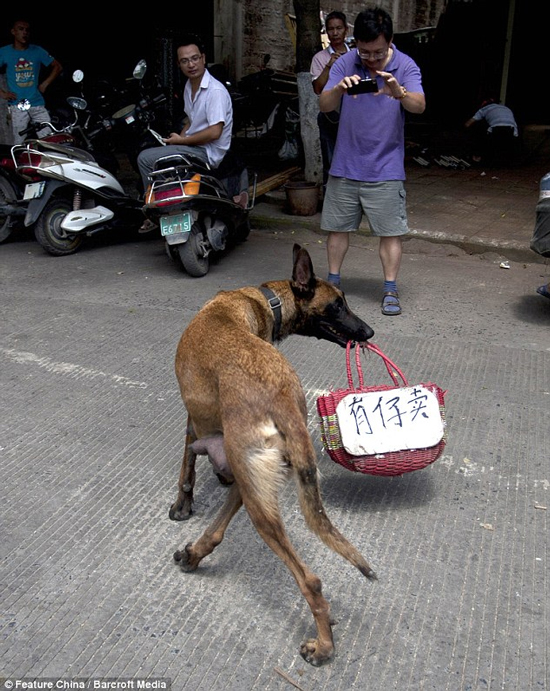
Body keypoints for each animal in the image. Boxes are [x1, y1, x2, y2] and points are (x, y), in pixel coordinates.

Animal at [169, 243, 376, 664]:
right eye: (337, 305)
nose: (369, 332)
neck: (265, 300)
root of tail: (280, 397)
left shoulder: (193, 418)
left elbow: (187, 464)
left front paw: (182, 504)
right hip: (255, 477)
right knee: (224, 522)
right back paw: (195, 553)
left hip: (255, 490)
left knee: (310, 580)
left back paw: (323, 646)